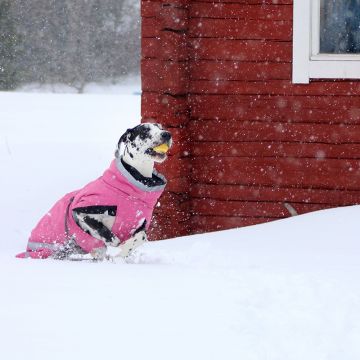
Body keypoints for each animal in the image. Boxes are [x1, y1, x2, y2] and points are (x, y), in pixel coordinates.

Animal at [16, 124, 173, 262]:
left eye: (160, 127)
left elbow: (141, 238)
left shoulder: (141, 226)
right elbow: (107, 234)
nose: (166, 134)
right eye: (145, 130)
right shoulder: (82, 212)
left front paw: (121, 253)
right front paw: (115, 247)